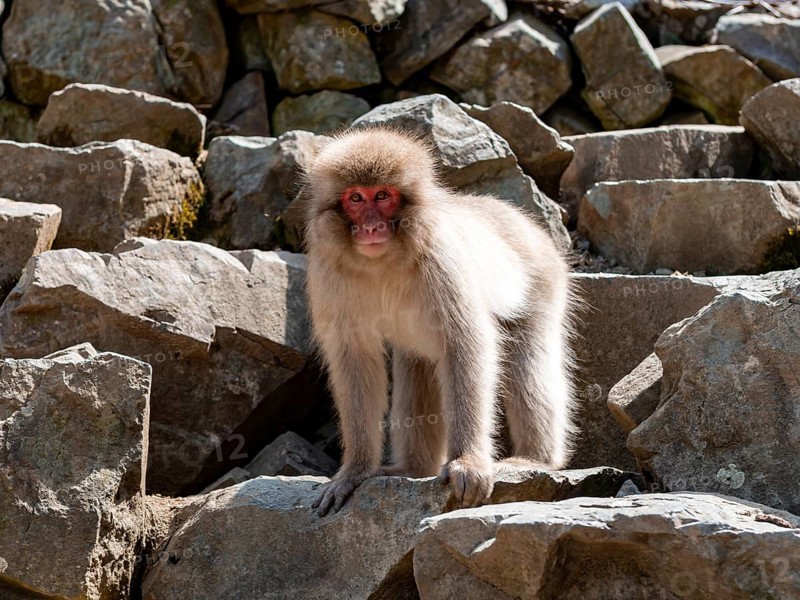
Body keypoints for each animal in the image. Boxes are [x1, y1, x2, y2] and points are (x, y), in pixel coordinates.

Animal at [304, 127, 577, 516]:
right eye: (356, 198)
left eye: (382, 195)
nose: (370, 227)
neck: (382, 262)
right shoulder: (327, 273)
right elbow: (355, 359)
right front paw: (355, 471)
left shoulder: (442, 259)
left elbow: (467, 345)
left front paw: (468, 463)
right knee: (416, 368)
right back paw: (413, 468)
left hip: (543, 284)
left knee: (528, 361)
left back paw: (536, 460)